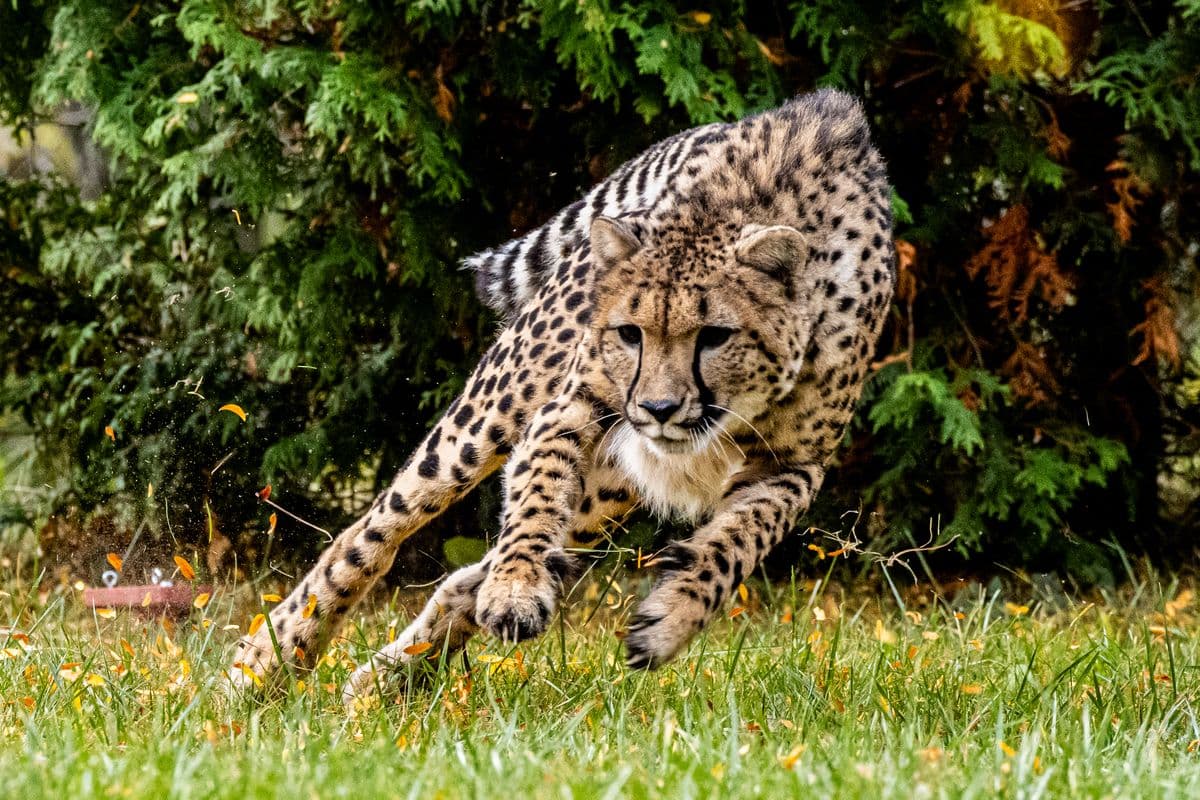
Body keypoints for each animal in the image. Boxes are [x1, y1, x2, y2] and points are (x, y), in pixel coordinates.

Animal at [227, 89, 895, 699]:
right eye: (630, 333)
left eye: (715, 336)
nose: (658, 410)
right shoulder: (569, 405)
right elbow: (536, 494)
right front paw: (518, 588)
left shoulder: (793, 466)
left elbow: (737, 542)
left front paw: (671, 617)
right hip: (491, 419)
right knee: (371, 535)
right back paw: (267, 663)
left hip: (610, 489)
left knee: (464, 577)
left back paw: (391, 676)